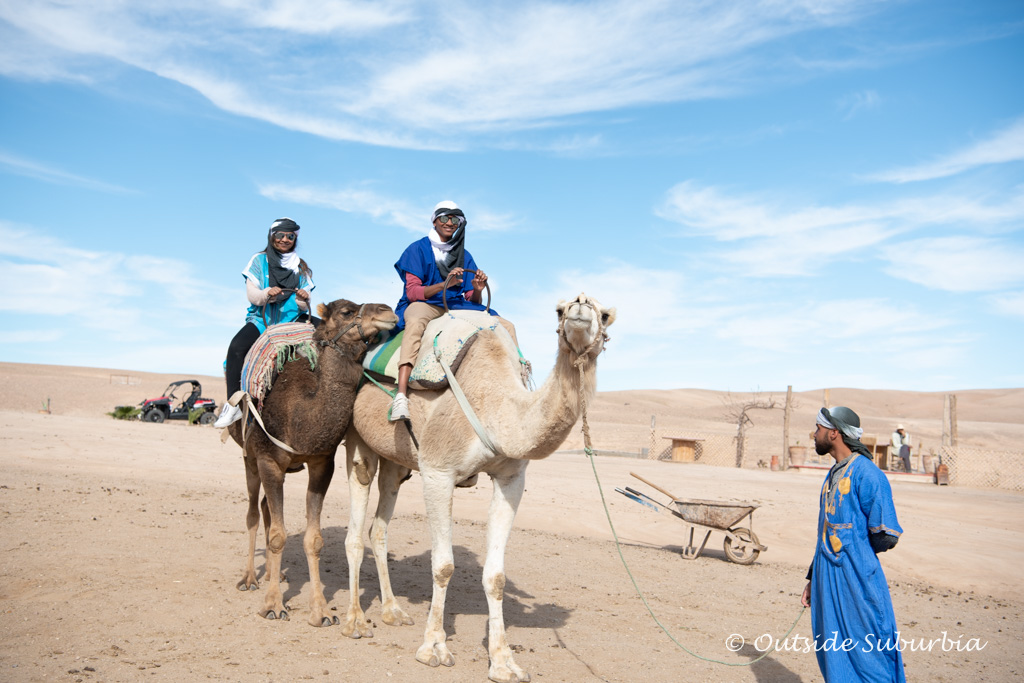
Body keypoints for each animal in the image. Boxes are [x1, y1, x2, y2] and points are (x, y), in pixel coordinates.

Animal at [228, 299, 395, 630]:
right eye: (346, 311)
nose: (388, 311)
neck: (302, 412)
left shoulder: (321, 464)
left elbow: (313, 539)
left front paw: (322, 611)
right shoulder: (268, 461)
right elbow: (278, 535)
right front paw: (273, 605)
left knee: (265, 510)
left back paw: (275, 574)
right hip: (250, 460)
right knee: (253, 512)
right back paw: (250, 578)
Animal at [344, 294, 614, 683]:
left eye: (605, 314)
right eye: (560, 310)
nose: (580, 304)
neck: (497, 406)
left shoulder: (511, 479)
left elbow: (496, 576)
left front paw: (503, 662)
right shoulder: (438, 471)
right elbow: (443, 565)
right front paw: (434, 647)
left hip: (395, 457)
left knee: (378, 526)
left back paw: (393, 611)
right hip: (358, 438)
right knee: (355, 522)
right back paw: (354, 621)